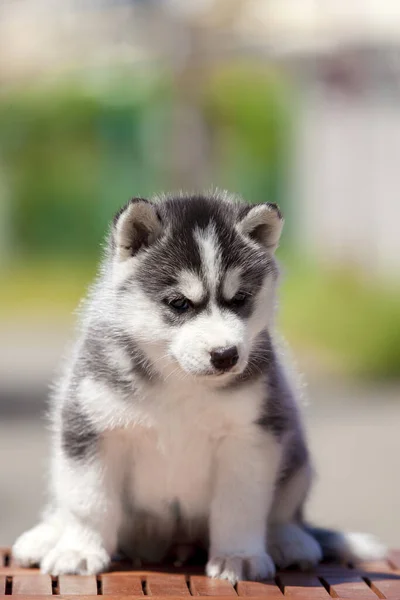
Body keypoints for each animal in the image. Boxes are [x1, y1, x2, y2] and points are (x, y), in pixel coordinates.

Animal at [12, 192, 384, 580]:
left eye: (240, 299)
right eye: (179, 303)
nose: (226, 356)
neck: (181, 383)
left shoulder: (250, 438)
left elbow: (240, 505)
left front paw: (239, 556)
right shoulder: (91, 427)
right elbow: (89, 501)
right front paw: (79, 550)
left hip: (295, 454)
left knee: (285, 513)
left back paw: (290, 541)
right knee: (63, 501)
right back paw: (45, 537)